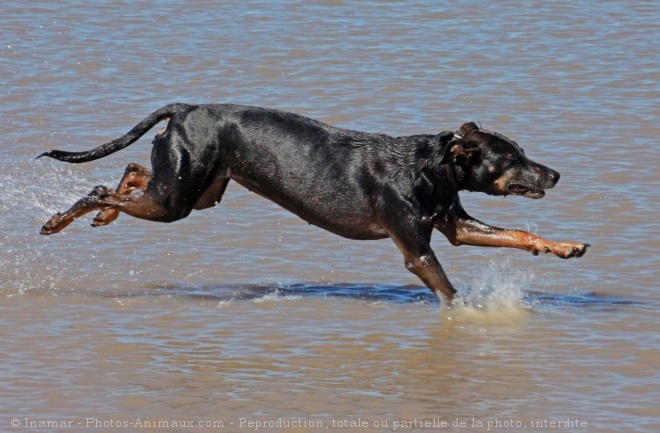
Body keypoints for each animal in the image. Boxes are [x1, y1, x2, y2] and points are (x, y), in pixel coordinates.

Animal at [38, 103, 592, 302]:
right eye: (512, 158)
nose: (555, 173)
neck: (431, 167)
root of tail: (184, 109)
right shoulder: (416, 250)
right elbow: (449, 292)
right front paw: (474, 317)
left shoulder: (452, 225)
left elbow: (519, 234)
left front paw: (564, 246)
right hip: (178, 199)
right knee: (100, 188)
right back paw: (61, 220)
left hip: (196, 191)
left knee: (133, 171)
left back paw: (106, 212)